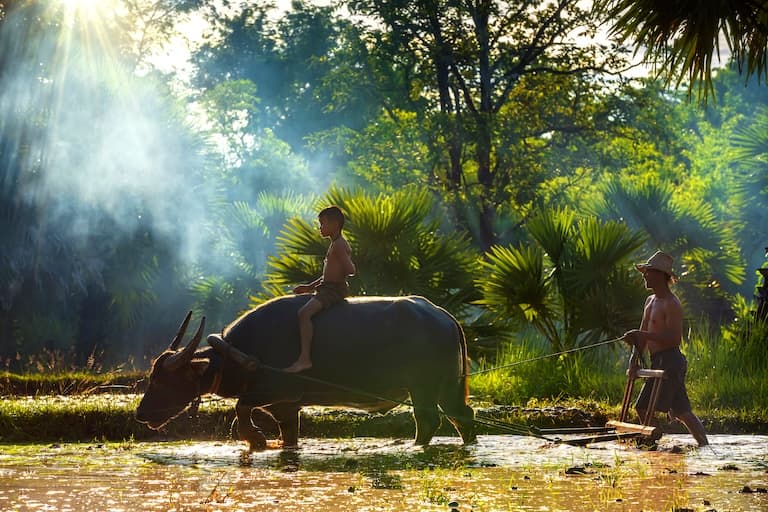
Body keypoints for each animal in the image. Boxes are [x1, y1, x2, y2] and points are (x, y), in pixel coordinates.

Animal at [136, 294, 476, 451]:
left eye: (161, 380)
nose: (140, 413)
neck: (241, 354)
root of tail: (444, 317)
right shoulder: (286, 408)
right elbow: (288, 435)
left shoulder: (278, 392)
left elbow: (240, 407)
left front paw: (255, 438)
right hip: (448, 386)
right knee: (462, 415)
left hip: (423, 387)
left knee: (428, 419)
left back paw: (415, 447)